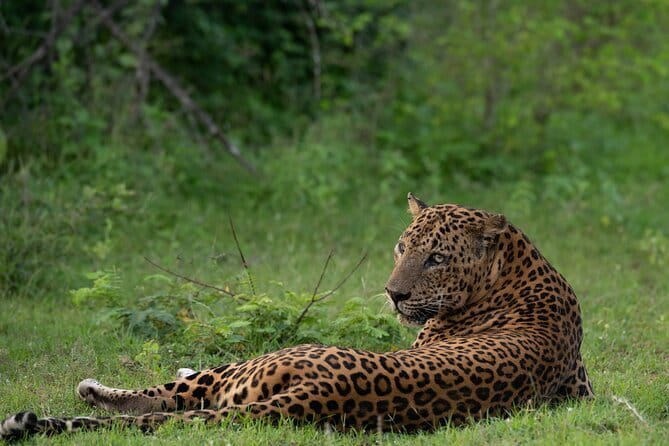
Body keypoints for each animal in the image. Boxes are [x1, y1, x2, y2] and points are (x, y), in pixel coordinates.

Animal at [0, 193, 593, 441]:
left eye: (436, 259)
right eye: (402, 248)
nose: (392, 294)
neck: (517, 270)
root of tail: (323, 394)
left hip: (251, 366)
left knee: (161, 399)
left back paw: (77, 396)